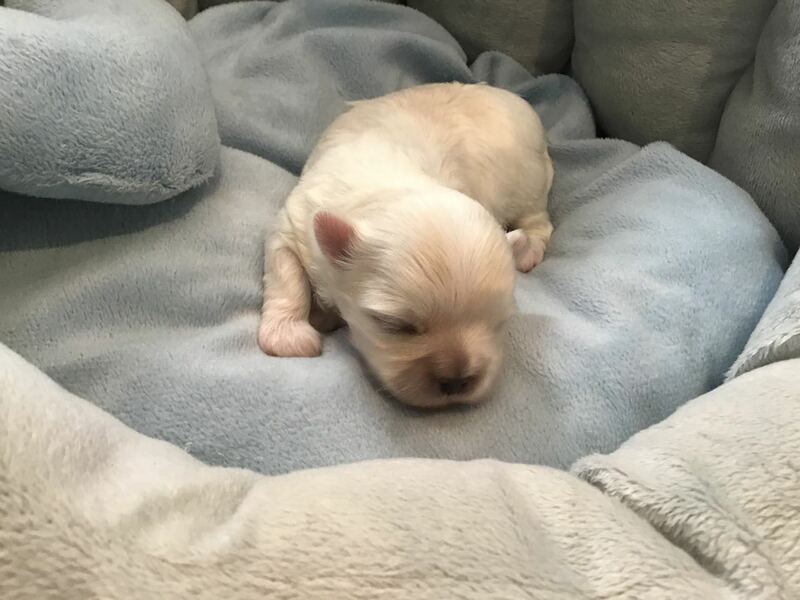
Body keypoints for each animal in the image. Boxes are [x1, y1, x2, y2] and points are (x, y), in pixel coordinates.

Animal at [258, 82, 553, 408]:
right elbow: (287, 277)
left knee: (540, 220)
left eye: (498, 323)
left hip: (525, 183)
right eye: (397, 326)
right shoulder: (293, 223)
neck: (390, 187)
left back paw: (528, 251)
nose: (457, 382)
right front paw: (290, 337)